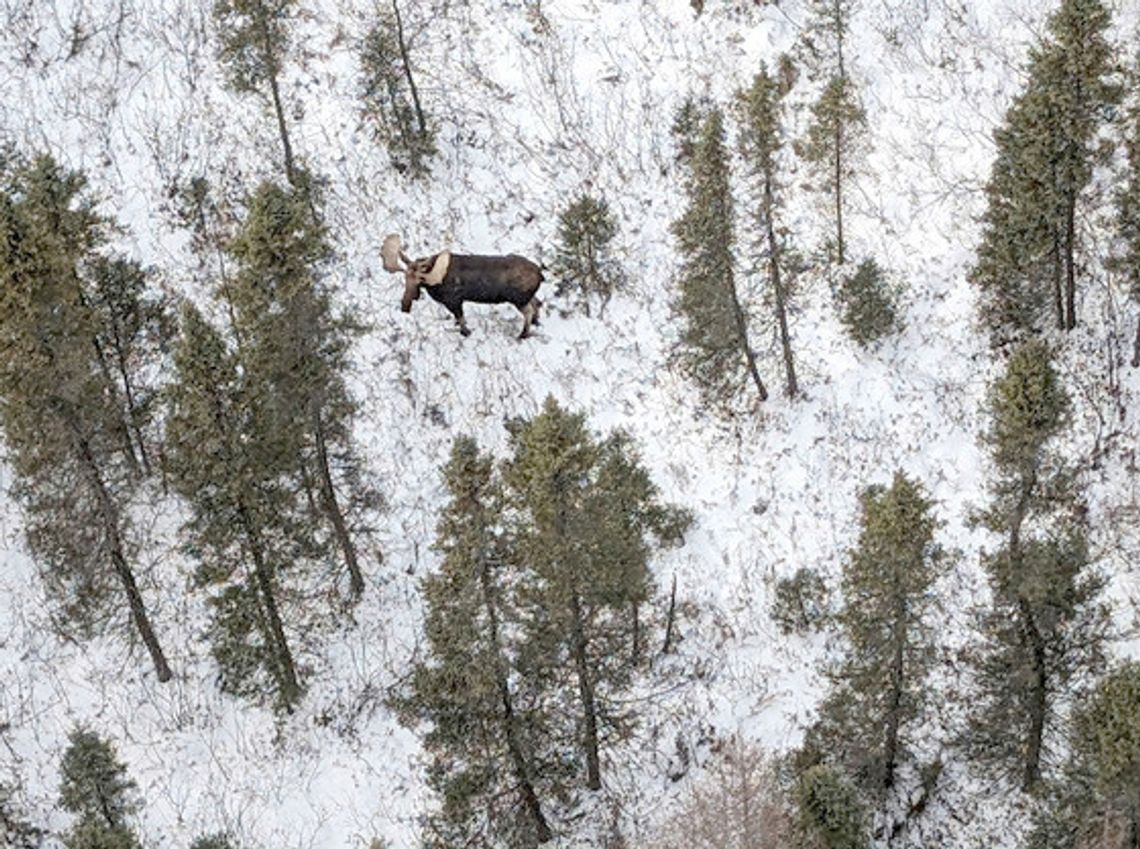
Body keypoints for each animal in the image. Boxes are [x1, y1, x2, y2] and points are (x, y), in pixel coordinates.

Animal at [380, 233, 544, 339]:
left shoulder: (454, 301)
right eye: (405, 279)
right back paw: (536, 323)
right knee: (537, 302)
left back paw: (522, 335)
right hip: (525, 297)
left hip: (518, 299)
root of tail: (540, 274)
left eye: (419, 280)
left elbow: (461, 319)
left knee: (529, 310)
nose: (405, 305)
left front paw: (466, 333)